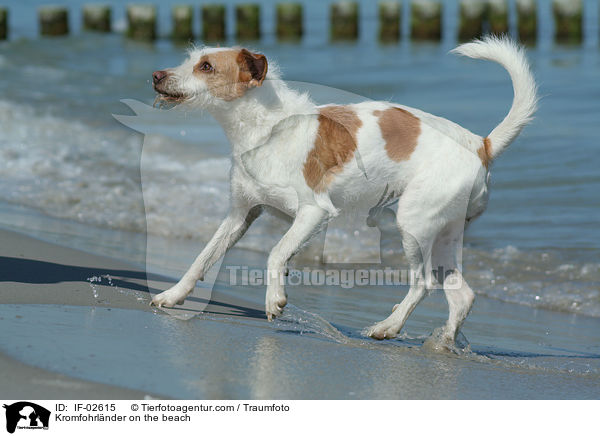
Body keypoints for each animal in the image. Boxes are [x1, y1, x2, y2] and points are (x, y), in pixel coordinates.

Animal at [150, 36, 540, 344]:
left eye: (206, 66)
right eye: (190, 60)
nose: (155, 75)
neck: (265, 127)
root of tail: (480, 144)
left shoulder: (314, 212)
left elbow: (276, 253)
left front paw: (275, 298)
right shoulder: (240, 215)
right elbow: (202, 259)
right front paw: (173, 295)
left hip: (414, 223)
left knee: (423, 283)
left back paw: (388, 326)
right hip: (444, 234)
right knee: (462, 297)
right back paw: (442, 343)